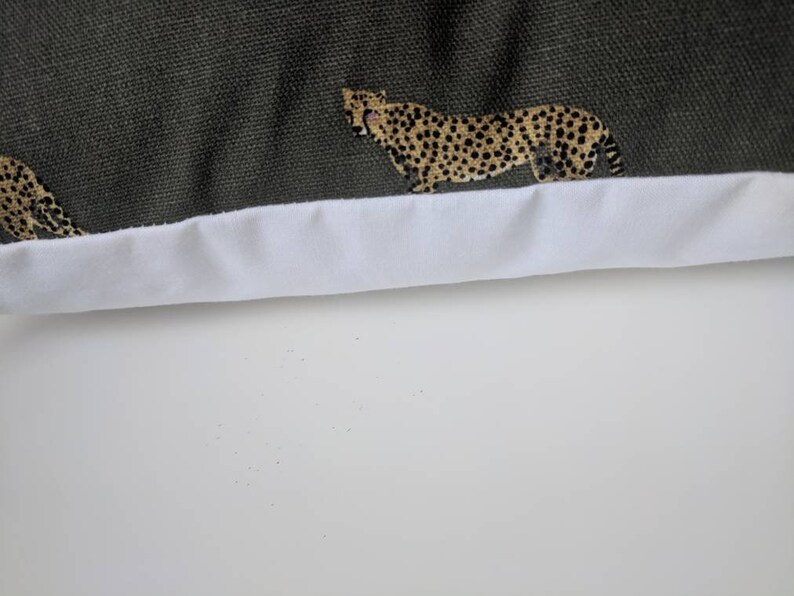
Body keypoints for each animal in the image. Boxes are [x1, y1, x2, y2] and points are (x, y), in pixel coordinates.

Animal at [342, 88, 625, 193]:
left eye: (370, 112)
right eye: (349, 111)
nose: (356, 126)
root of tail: (593, 117)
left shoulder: (428, 178)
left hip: (572, 168)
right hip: (545, 167)